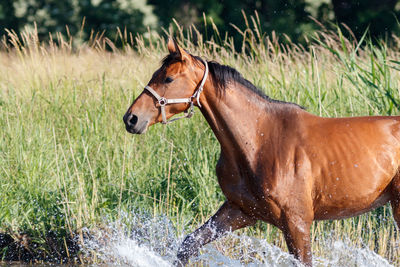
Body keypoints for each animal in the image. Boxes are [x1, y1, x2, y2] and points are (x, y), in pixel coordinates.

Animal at [122, 38, 400, 266]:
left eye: (168, 79)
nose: (131, 119)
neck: (258, 140)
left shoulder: (297, 223)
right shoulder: (240, 211)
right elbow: (189, 244)